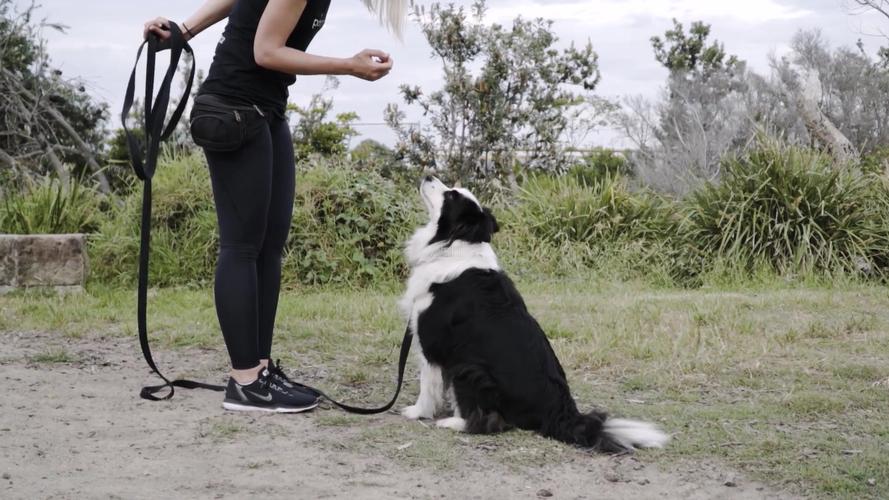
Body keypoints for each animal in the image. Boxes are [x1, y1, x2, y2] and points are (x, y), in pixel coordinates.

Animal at [396, 177, 664, 454]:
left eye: (450, 195)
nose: (428, 177)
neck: (454, 246)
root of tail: (561, 413)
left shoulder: (432, 343)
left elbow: (427, 385)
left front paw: (417, 412)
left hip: (469, 368)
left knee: (491, 421)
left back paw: (454, 422)